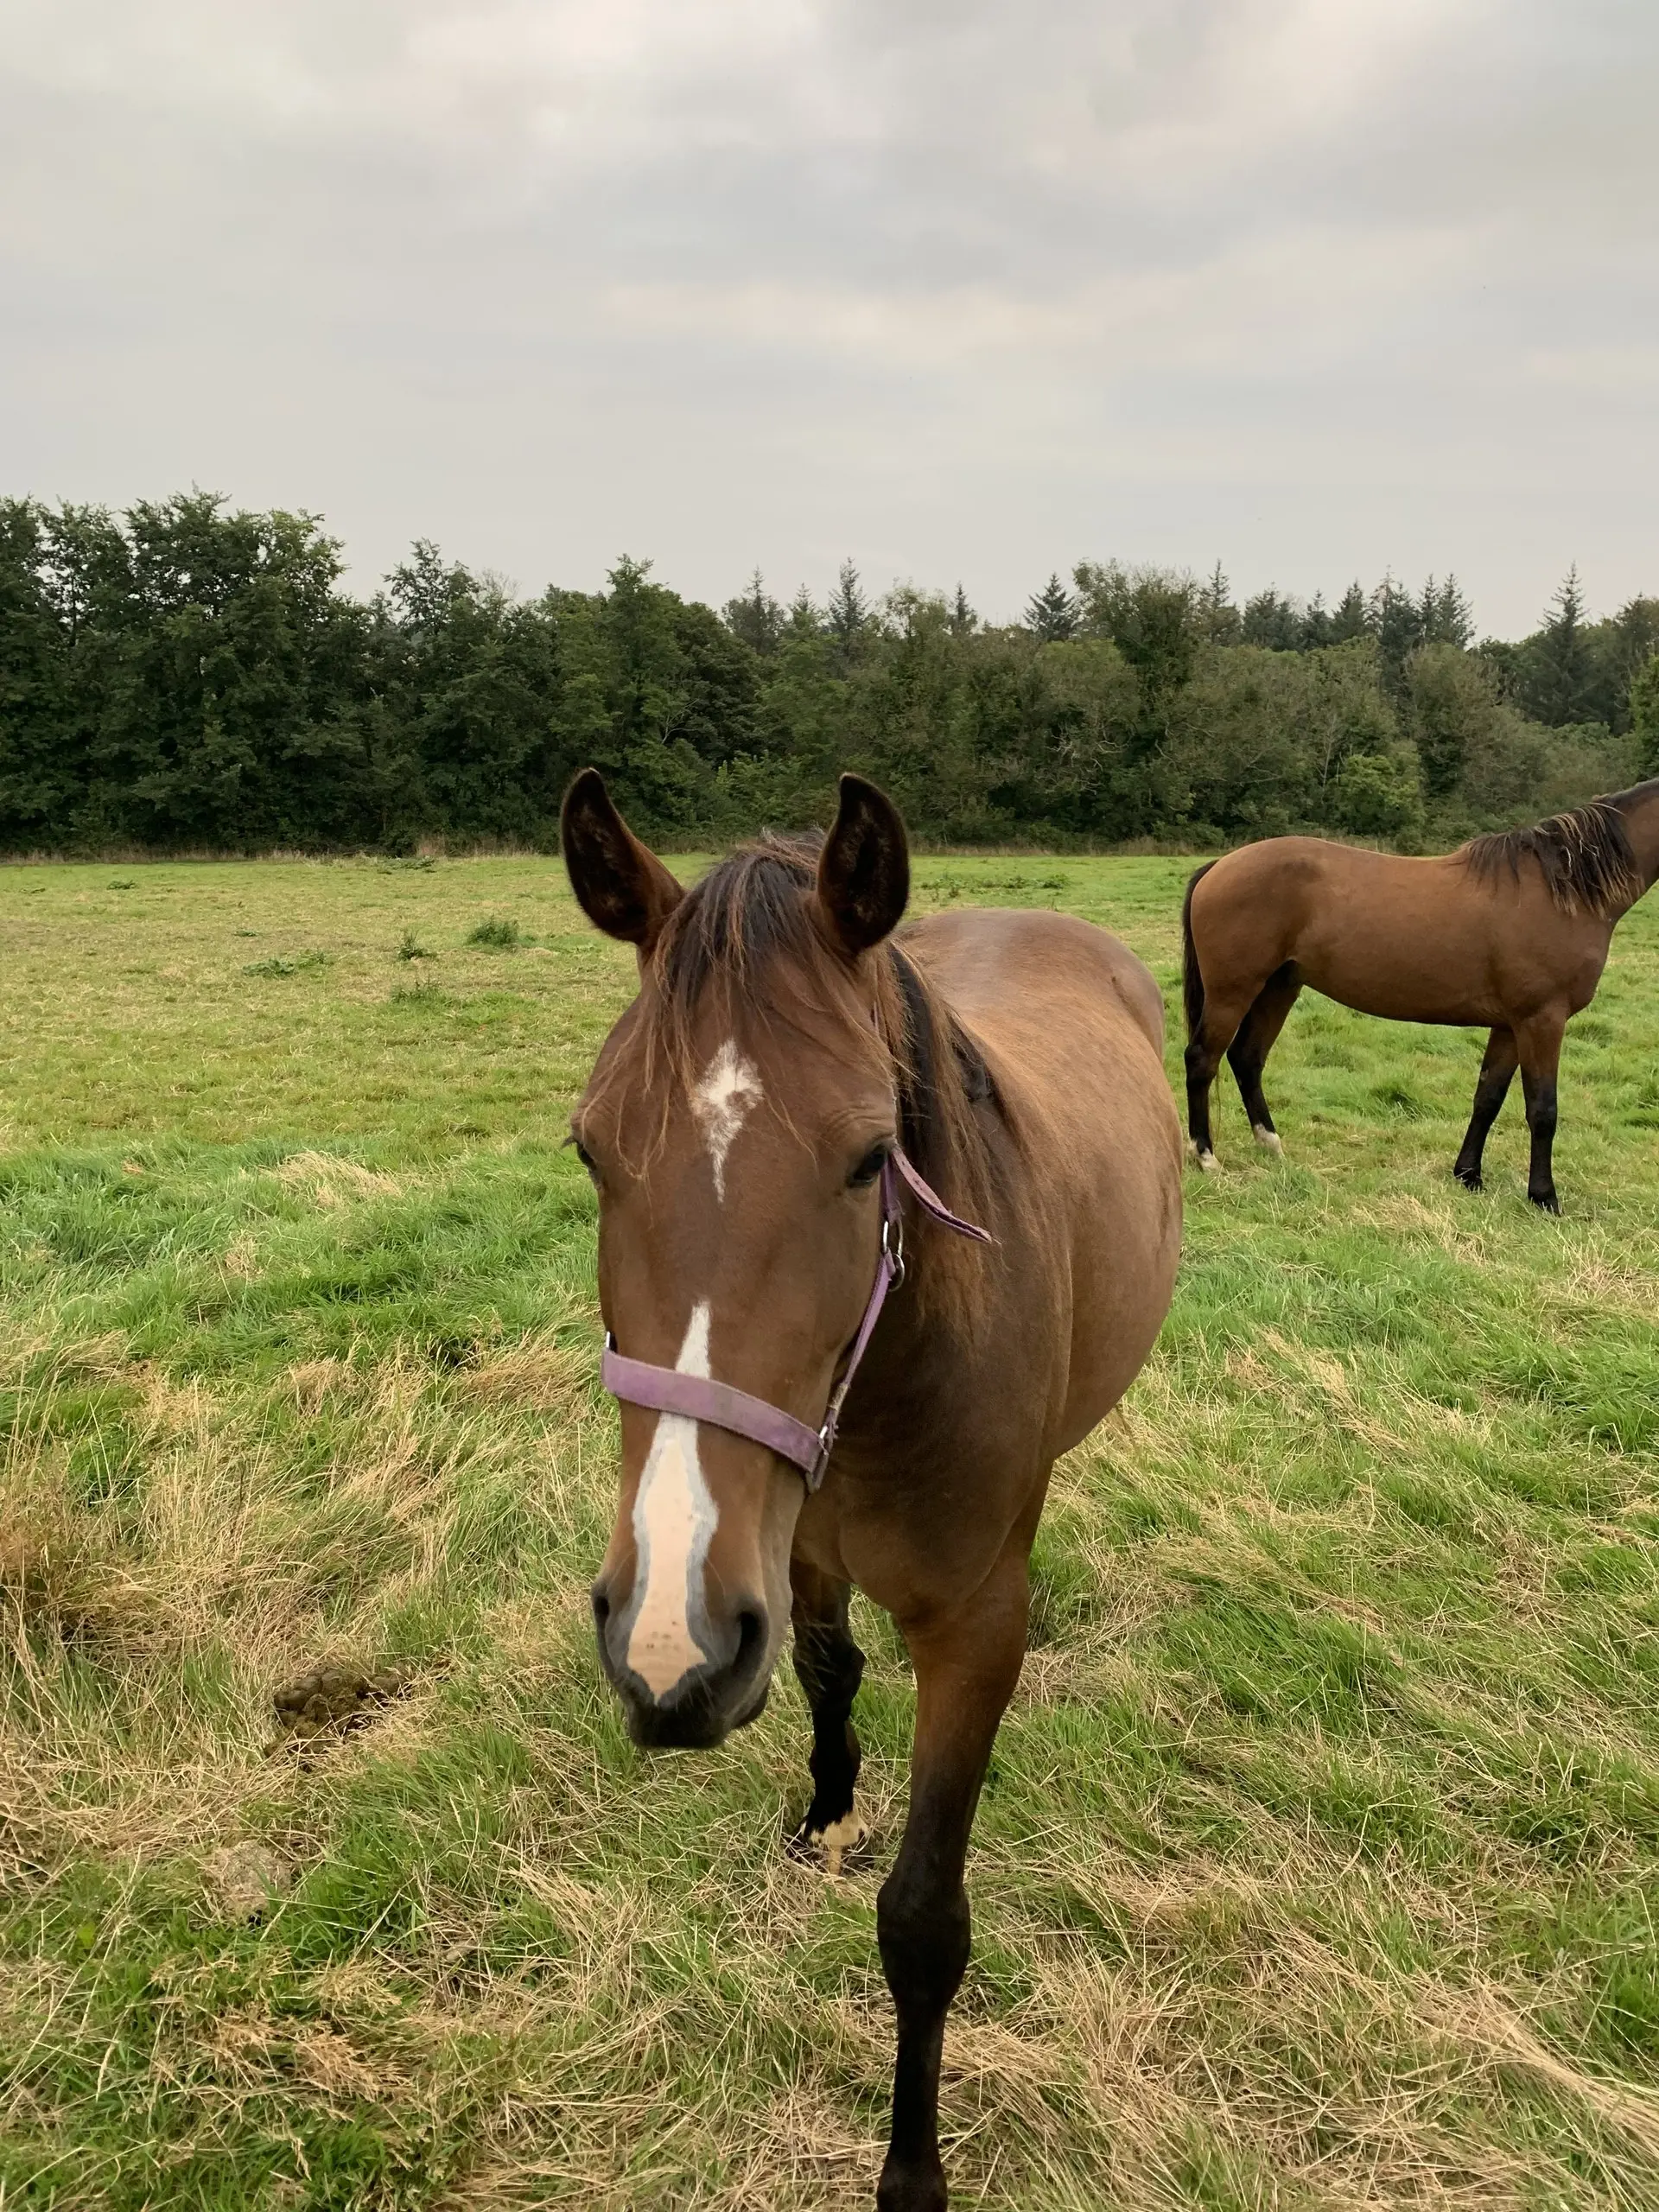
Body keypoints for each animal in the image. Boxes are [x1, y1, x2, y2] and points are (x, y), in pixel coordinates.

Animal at [560, 768, 1181, 2212]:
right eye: (590, 1151)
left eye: (867, 1159)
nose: (662, 1641)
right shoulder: (785, 1559)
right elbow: (828, 1671)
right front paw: (830, 1809)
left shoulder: (972, 1633)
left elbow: (924, 1922)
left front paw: (911, 2174)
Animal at [1180, 778, 1659, 1213]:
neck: (1562, 891)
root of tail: (1220, 866)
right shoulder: (1542, 1019)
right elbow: (1543, 1109)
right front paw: (1544, 1198)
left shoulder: (1509, 1025)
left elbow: (1488, 1098)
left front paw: (1469, 1175)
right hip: (1233, 991)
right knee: (1202, 1059)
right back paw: (1206, 1157)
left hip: (1279, 987)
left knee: (1247, 1058)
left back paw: (1271, 1145)